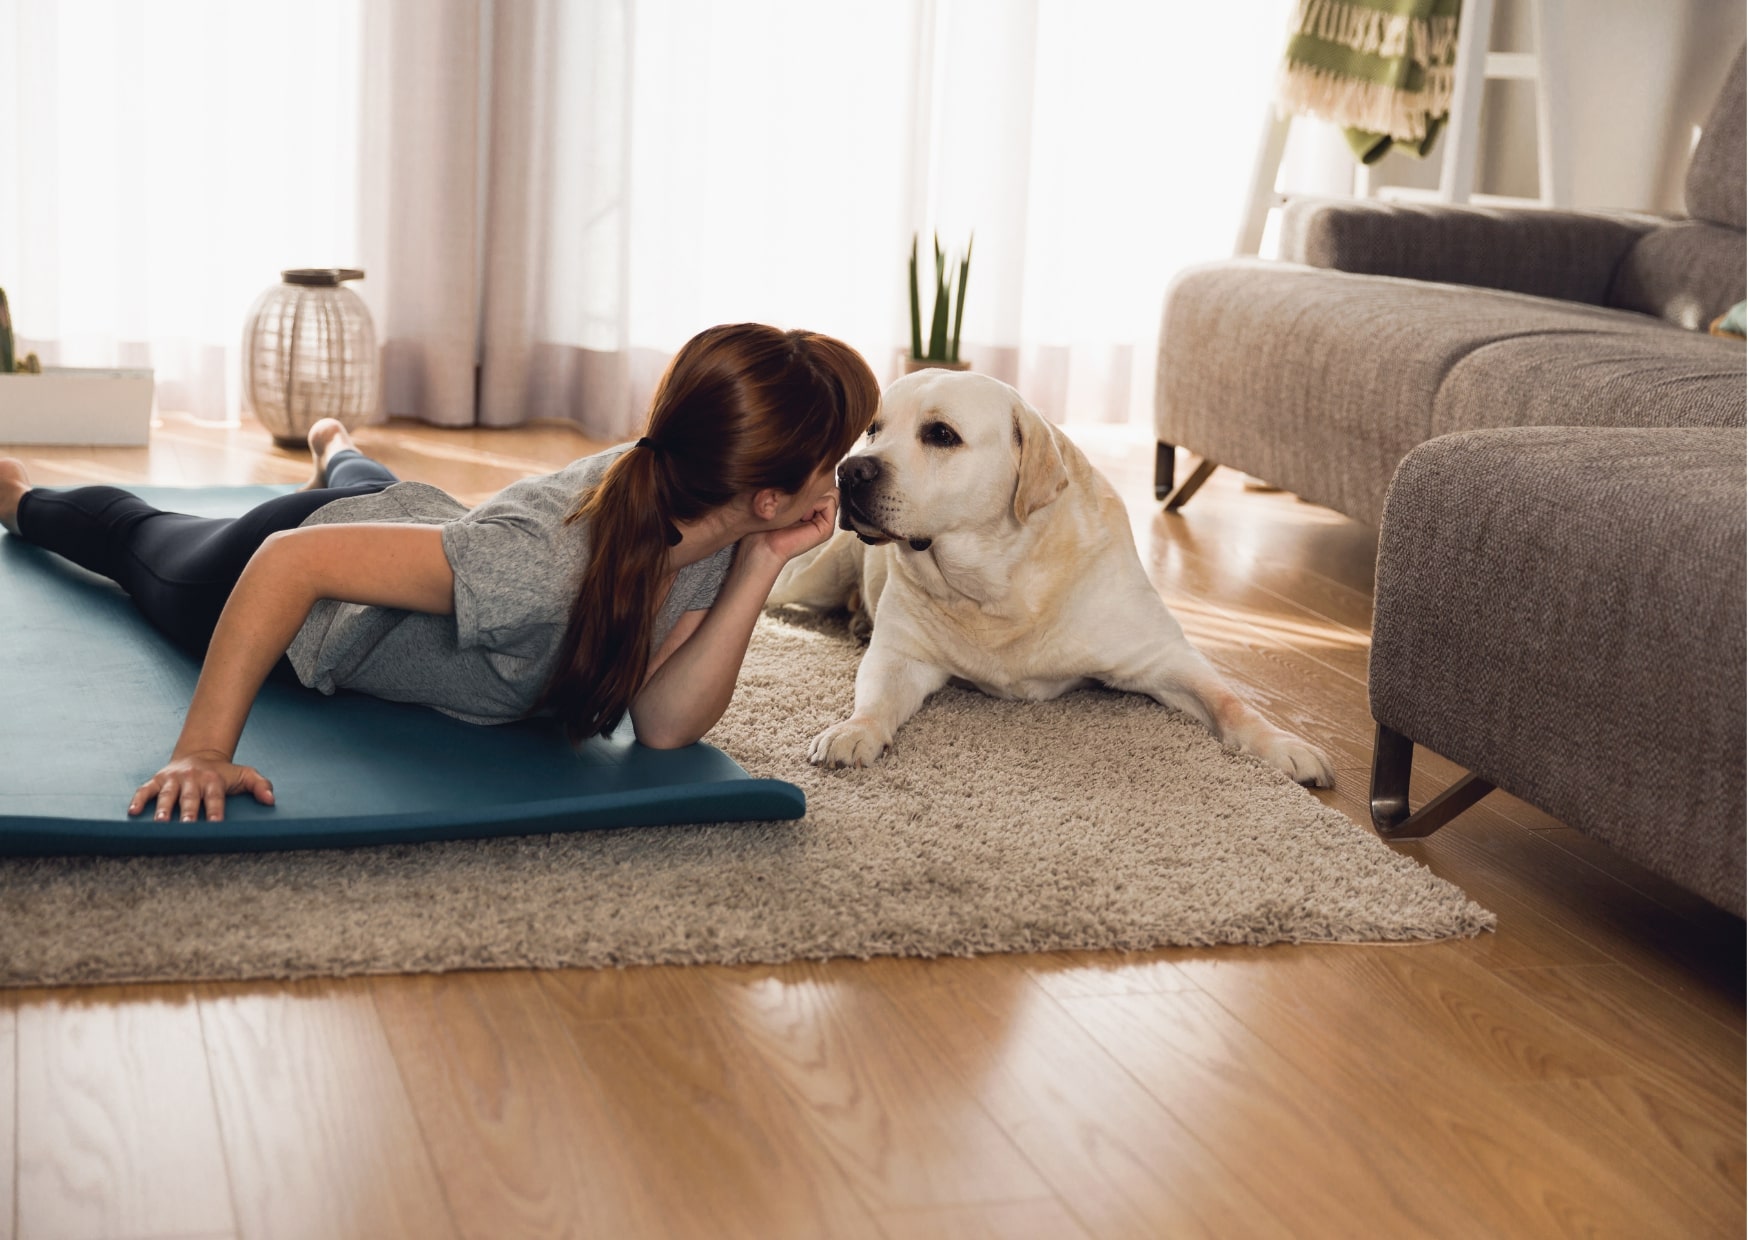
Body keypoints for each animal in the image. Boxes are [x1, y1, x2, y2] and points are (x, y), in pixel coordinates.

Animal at [769, 372, 1335, 787]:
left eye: (941, 434)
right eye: (874, 428)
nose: (849, 472)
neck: (995, 584)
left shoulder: (1161, 657)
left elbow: (1232, 703)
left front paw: (1284, 745)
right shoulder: (900, 658)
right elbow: (874, 701)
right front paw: (853, 731)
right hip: (810, 578)